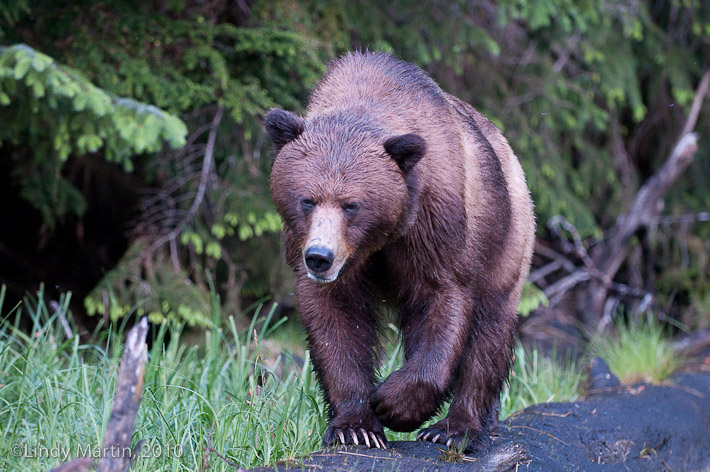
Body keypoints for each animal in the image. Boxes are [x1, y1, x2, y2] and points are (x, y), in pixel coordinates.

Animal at [264, 51, 535, 452]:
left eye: (351, 205)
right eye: (307, 200)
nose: (319, 257)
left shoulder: (435, 226)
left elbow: (444, 302)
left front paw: (395, 404)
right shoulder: (329, 261)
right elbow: (335, 322)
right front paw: (356, 425)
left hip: (506, 237)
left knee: (491, 331)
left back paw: (458, 427)